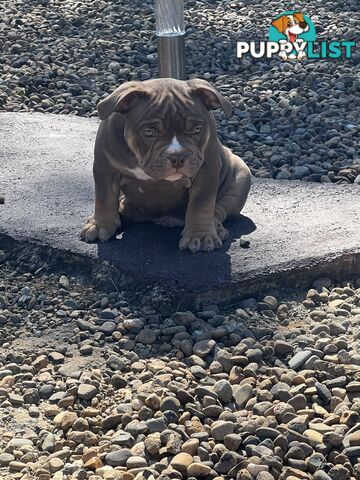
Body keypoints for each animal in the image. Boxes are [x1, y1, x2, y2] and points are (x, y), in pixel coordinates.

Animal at [80, 79, 252, 253]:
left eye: (197, 130)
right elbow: (104, 199)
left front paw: (200, 236)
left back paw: (215, 227)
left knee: (218, 209)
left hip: (241, 178)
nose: (178, 156)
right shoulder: (105, 168)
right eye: (149, 132)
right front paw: (99, 225)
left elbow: (201, 204)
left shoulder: (207, 170)